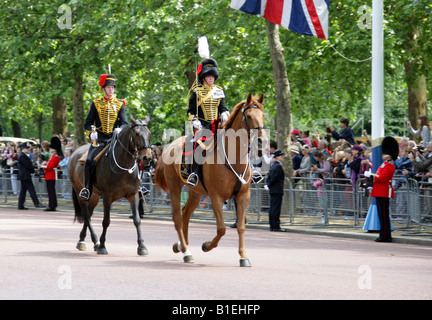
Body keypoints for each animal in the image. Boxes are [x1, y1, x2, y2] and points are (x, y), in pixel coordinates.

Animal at [67, 116, 152, 256]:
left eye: (149, 133)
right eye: (136, 133)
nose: (147, 158)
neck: (124, 165)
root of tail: (74, 152)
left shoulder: (133, 195)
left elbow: (137, 220)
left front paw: (142, 246)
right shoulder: (107, 197)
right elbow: (106, 221)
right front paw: (102, 246)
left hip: (94, 196)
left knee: (89, 213)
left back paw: (84, 240)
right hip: (81, 192)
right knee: (86, 215)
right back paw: (94, 242)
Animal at [154, 93, 264, 268]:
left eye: (263, 115)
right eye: (248, 116)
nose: (262, 140)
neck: (233, 158)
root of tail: (168, 146)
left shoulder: (243, 196)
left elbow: (241, 227)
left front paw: (243, 257)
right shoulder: (216, 197)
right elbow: (221, 229)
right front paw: (206, 245)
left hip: (196, 192)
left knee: (185, 214)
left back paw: (181, 245)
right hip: (174, 188)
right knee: (177, 218)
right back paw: (186, 252)